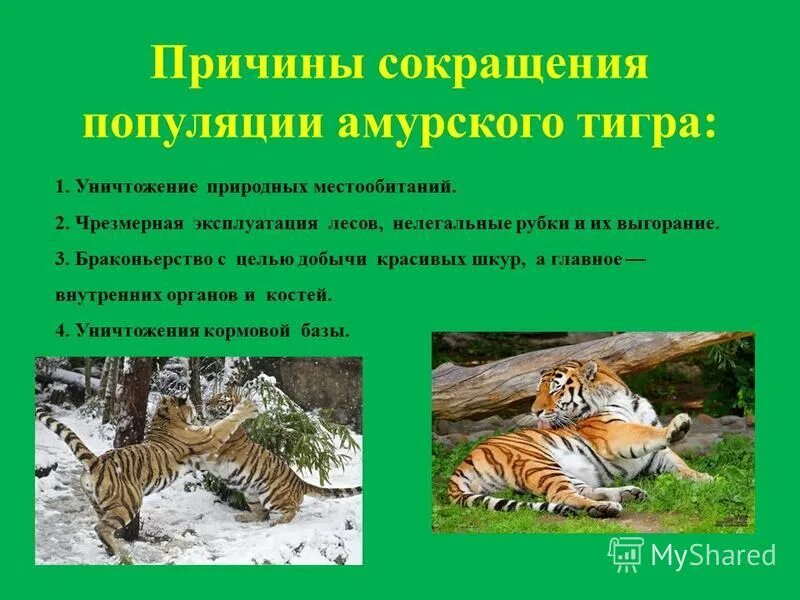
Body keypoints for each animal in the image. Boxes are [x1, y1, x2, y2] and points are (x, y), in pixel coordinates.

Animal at [35, 395, 258, 563]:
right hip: (128, 503)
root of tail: (97, 461)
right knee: (101, 528)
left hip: (98, 503)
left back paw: (111, 550)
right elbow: (227, 423)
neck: (165, 416)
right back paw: (120, 554)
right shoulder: (208, 436)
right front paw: (247, 408)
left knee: (102, 525)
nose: (198, 411)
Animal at [199, 394, 362, 525]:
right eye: (213, 396)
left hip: (272, 496)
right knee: (262, 514)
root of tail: (300, 482)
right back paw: (244, 517)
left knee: (292, 509)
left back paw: (278, 522)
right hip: (252, 495)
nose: (206, 403)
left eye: (220, 400)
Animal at [448, 359, 712, 518]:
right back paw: (607, 508)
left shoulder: (657, 454)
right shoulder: (612, 433)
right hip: (537, 462)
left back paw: (626, 495)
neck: (622, 396)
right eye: (538, 391)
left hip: (565, 471)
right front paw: (676, 427)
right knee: (561, 495)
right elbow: (643, 432)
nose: (535, 411)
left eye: (554, 390)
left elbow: (680, 464)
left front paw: (705, 478)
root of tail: (460, 467)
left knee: (584, 489)